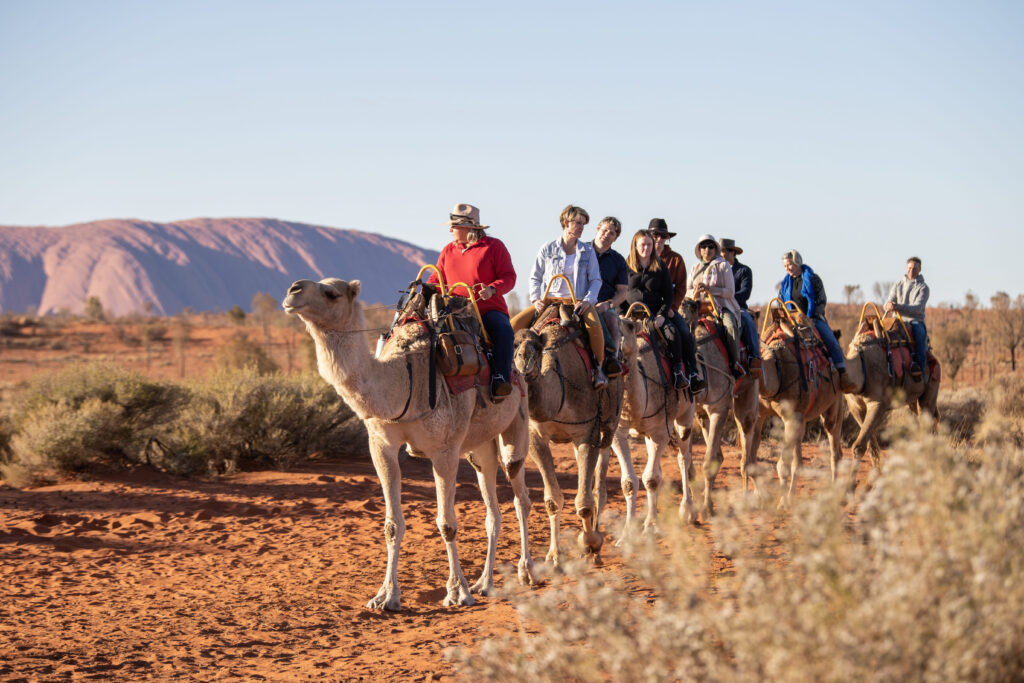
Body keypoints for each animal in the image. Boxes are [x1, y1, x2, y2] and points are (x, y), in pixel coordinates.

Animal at [282, 277, 535, 611]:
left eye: (331, 293)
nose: (293, 290)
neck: (406, 379)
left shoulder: (444, 450)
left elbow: (447, 523)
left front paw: (457, 593)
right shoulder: (381, 445)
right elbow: (392, 525)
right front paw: (386, 596)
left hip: (515, 425)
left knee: (521, 496)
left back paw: (526, 572)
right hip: (480, 447)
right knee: (492, 511)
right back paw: (484, 583)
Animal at [513, 309, 623, 564]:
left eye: (537, 347)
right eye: (513, 345)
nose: (524, 360)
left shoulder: (587, 433)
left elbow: (584, 503)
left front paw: (591, 544)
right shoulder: (536, 438)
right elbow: (553, 500)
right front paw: (554, 556)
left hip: (609, 425)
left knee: (598, 486)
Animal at [679, 299, 761, 518]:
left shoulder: (720, 408)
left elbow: (709, 462)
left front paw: (707, 507)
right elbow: (690, 463)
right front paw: (694, 505)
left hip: (749, 390)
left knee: (747, 440)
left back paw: (751, 495)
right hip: (702, 414)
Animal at [752, 303, 846, 506]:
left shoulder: (791, 417)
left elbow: (782, 465)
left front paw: (781, 502)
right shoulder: (760, 415)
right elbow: (751, 460)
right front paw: (760, 495)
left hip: (834, 405)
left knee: (835, 449)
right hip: (802, 418)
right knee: (800, 460)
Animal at [843, 307, 941, 488]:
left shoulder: (878, 403)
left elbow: (858, 445)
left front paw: (850, 486)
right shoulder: (855, 406)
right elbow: (869, 443)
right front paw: (875, 475)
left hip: (932, 383)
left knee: (928, 419)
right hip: (913, 400)